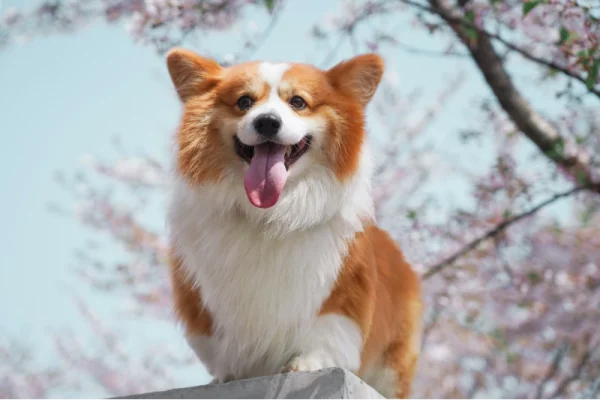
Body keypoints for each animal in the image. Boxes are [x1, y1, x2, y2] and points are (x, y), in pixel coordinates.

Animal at [164, 47, 422, 400]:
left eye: (298, 101)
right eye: (244, 101)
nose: (267, 122)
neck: (269, 213)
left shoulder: (339, 293)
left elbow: (324, 334)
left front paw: (306, 364)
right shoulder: (203, 300)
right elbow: (220, 348)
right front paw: (226, 376)